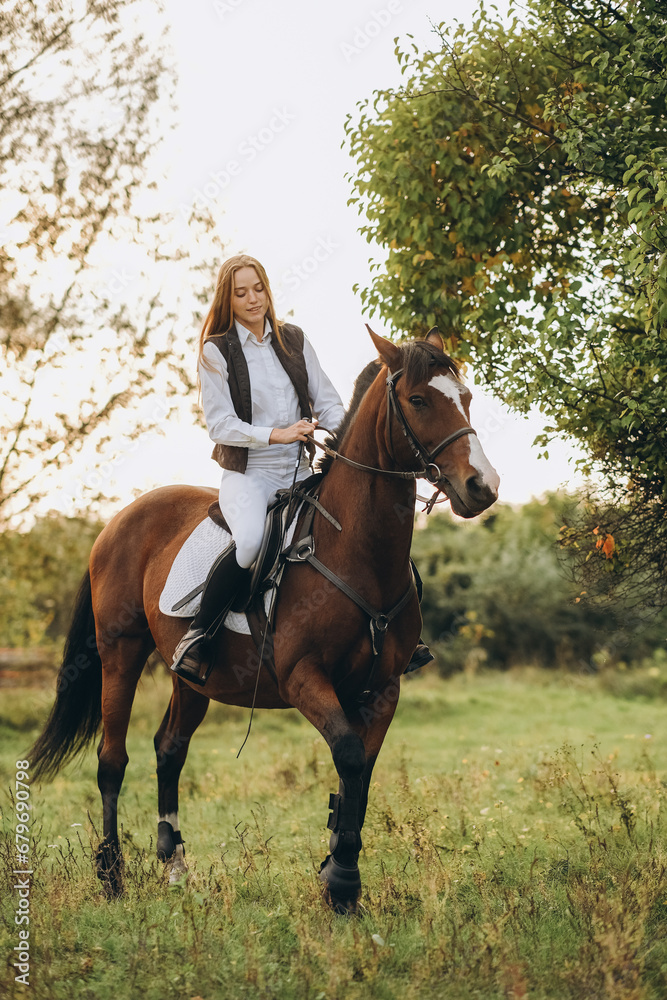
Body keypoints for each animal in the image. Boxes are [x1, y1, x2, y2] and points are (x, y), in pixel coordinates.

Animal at [30, 328, 500, 916]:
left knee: (169, 750)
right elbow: (349, 758)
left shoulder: (382, 688)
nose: (482, 487)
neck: (354, 549)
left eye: (467, 397)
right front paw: (341, 882)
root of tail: (116, 521)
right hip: (121, 653)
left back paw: (174, 866)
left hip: (193, 678)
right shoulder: (303, 678)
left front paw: (336, 872)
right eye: (418, 400)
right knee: (112, 758)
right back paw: (112, 876)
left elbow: (360, 775)